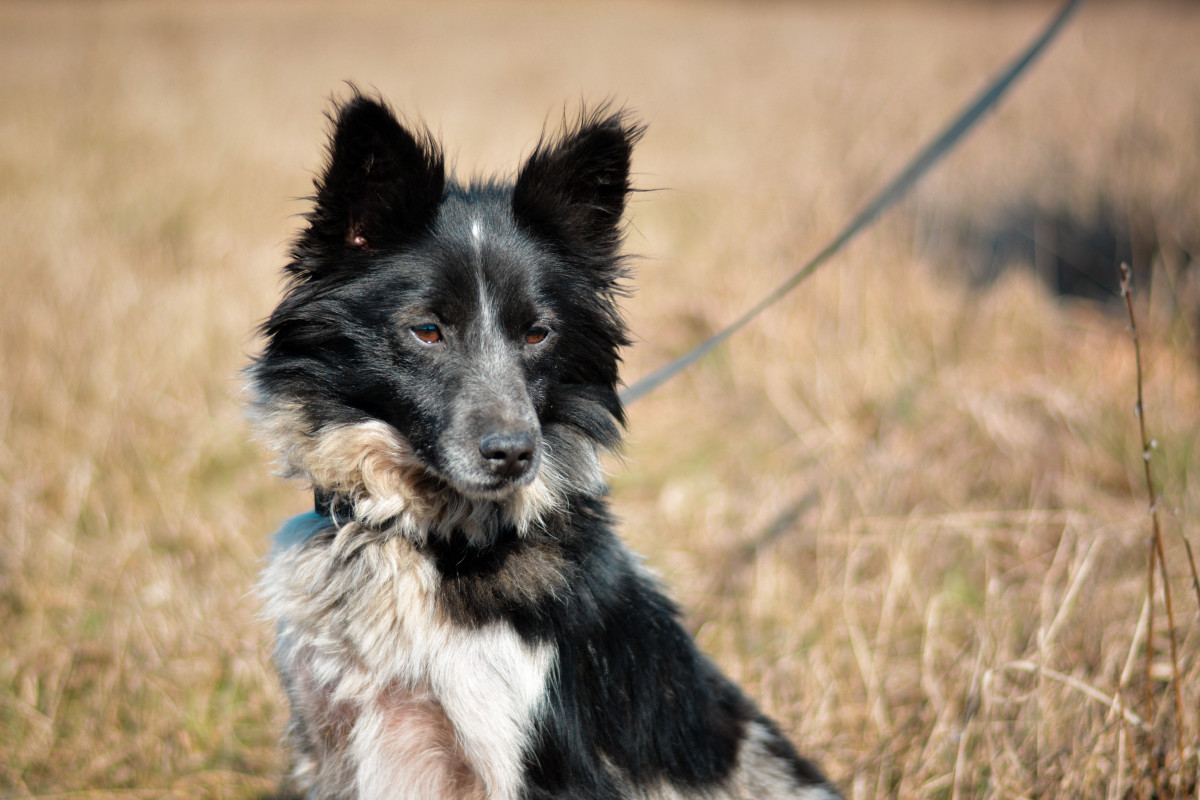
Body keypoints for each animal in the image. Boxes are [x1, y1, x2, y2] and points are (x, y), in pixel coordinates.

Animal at [248, 90, 840, 796]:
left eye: (537, 334)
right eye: (427, 330)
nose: (513, 454)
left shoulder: (531, 760)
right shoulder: (328, 742)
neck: (418, 535)